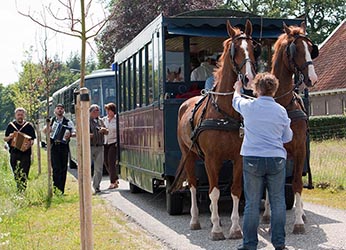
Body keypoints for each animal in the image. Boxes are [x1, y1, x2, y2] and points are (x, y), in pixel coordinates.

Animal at [170, 21, 260, 240]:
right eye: (234, 49)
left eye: (253, 47)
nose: (249, 78)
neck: (224, 112)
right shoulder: (211, 159)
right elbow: (214, 192)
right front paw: (217, 229)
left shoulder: (238, 158)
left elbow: (235, 190)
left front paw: (235, 228)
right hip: (189, 155)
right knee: (194, 185)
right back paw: (195, 220)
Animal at [262, 21, 318, 234]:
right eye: (296, 49)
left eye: (310, 48)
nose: (312, 78)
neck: (283, 104)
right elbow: (271, 184)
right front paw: (270, 217)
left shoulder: (300, 148)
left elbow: (296, 183)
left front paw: (299, 222)